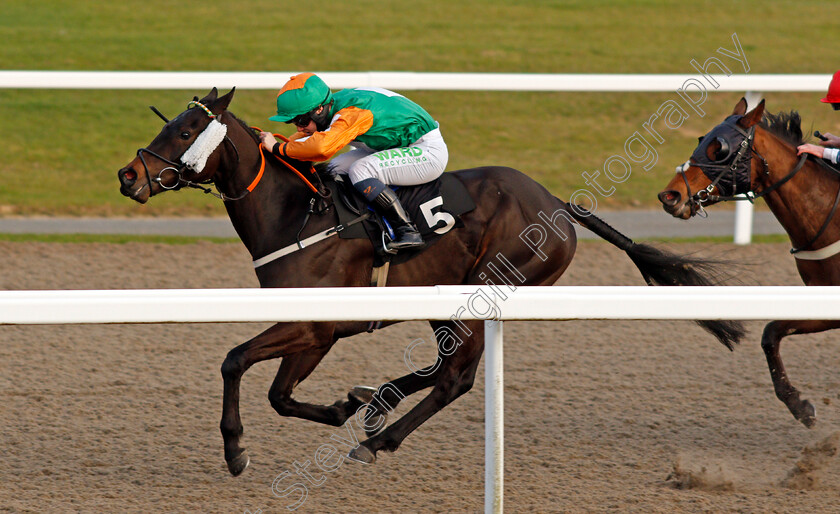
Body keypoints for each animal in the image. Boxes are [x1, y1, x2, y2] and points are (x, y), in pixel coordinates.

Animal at [116, 87, 740, 472]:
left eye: (188, 130)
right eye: (169, 124)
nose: (128, 175)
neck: (297, 212)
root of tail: (558, 204)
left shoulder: (316, 326)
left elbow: (236, 362)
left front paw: (235, 450)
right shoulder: (314, 331)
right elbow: (279, 393)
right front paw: (343, 407)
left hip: (487, 288)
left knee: (455, 378)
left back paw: (379, 438)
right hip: (449, 301)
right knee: (443, 369)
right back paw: (376, 402)